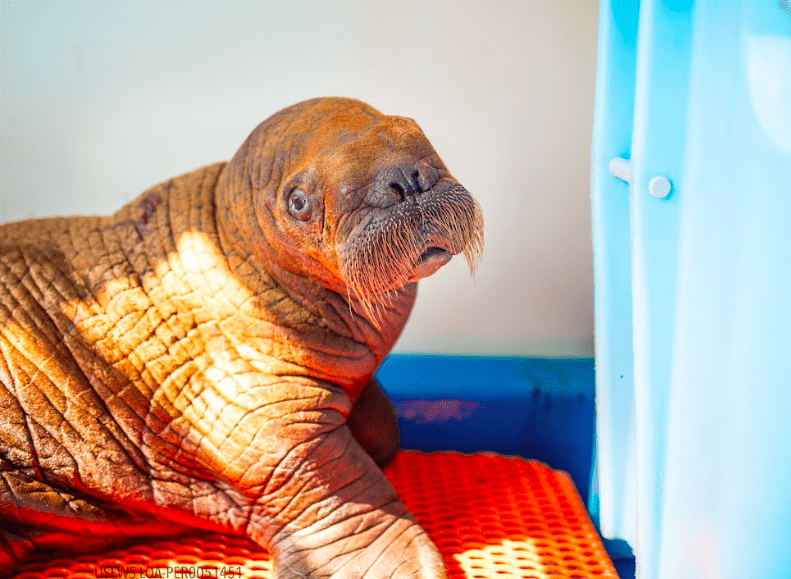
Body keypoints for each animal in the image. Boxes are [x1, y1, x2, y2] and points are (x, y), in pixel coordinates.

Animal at [0, 97, 482, 576]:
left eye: (413, 126)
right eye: (298, 202)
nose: (404, 177)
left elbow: (383, 429)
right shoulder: (255, 410)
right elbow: (334, 485)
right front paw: (392, 562)